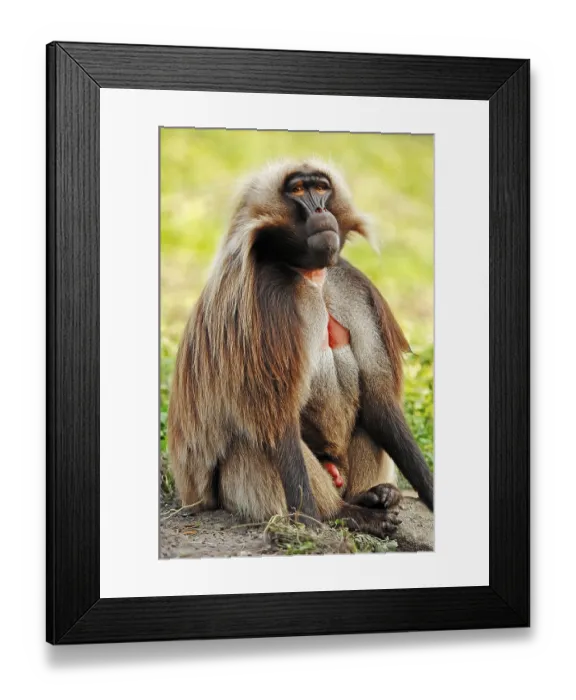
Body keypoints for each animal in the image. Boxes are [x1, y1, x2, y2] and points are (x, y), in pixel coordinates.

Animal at [167, 159, 433, 539]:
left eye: (321, 187)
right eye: (296, 190)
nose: (320, 210)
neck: (311, 276)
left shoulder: (353, 287)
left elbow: (380, 400)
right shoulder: (269, 299)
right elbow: (279, 422)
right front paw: (311, 524)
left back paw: (374, 495)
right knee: (257, 438)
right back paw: (347, 513)